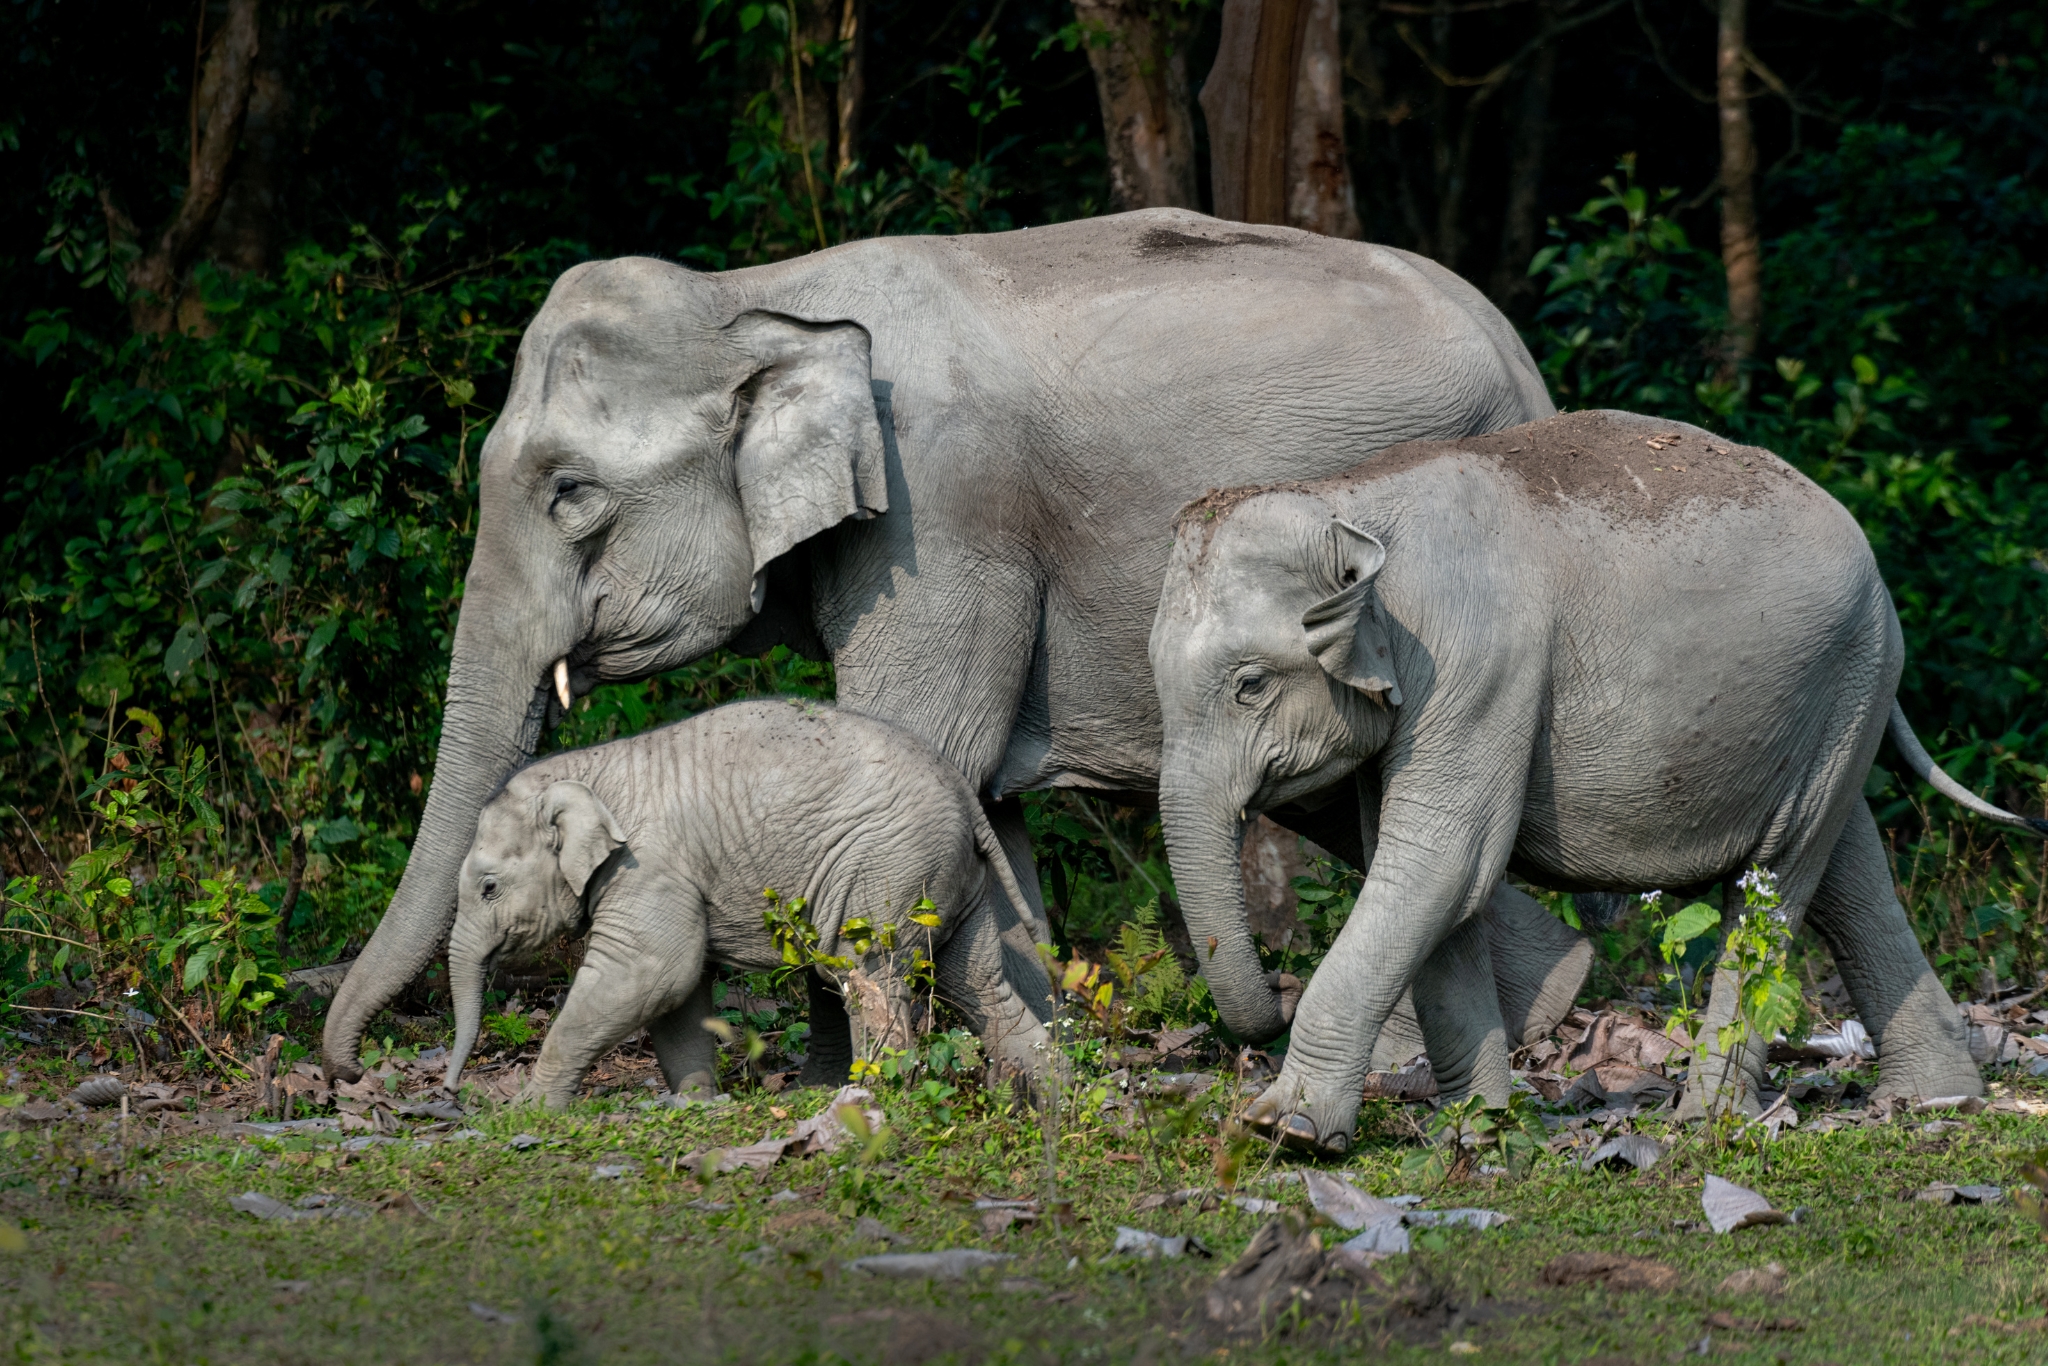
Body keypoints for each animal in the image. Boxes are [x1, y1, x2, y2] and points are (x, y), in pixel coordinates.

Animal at [441, 699, 1055, 1107]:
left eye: (489, 887)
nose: (449, 1092)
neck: (587, 770)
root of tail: (967, 798)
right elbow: (678, 993)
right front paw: (695, 1103)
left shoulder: (648, 867)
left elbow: (650, 972)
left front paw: (527, 1113)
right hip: (948, 879)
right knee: (976, 983)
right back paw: (1050, 1104)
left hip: (889, 867)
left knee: (869, 978)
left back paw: (868, 1103)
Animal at [1150, 409, 2020, 1151]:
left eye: (1250, 685)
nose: (1276, 986)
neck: (1346, 497)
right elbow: (1431, 883)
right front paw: (1478, 1127)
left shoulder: (1477, 665)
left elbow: (1440, 865)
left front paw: (1286, 1130)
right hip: (1837, 700)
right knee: (1844, 865)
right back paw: (1938, 1099)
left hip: (1850, 673)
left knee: (1777, 876)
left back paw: (1708, 1121)